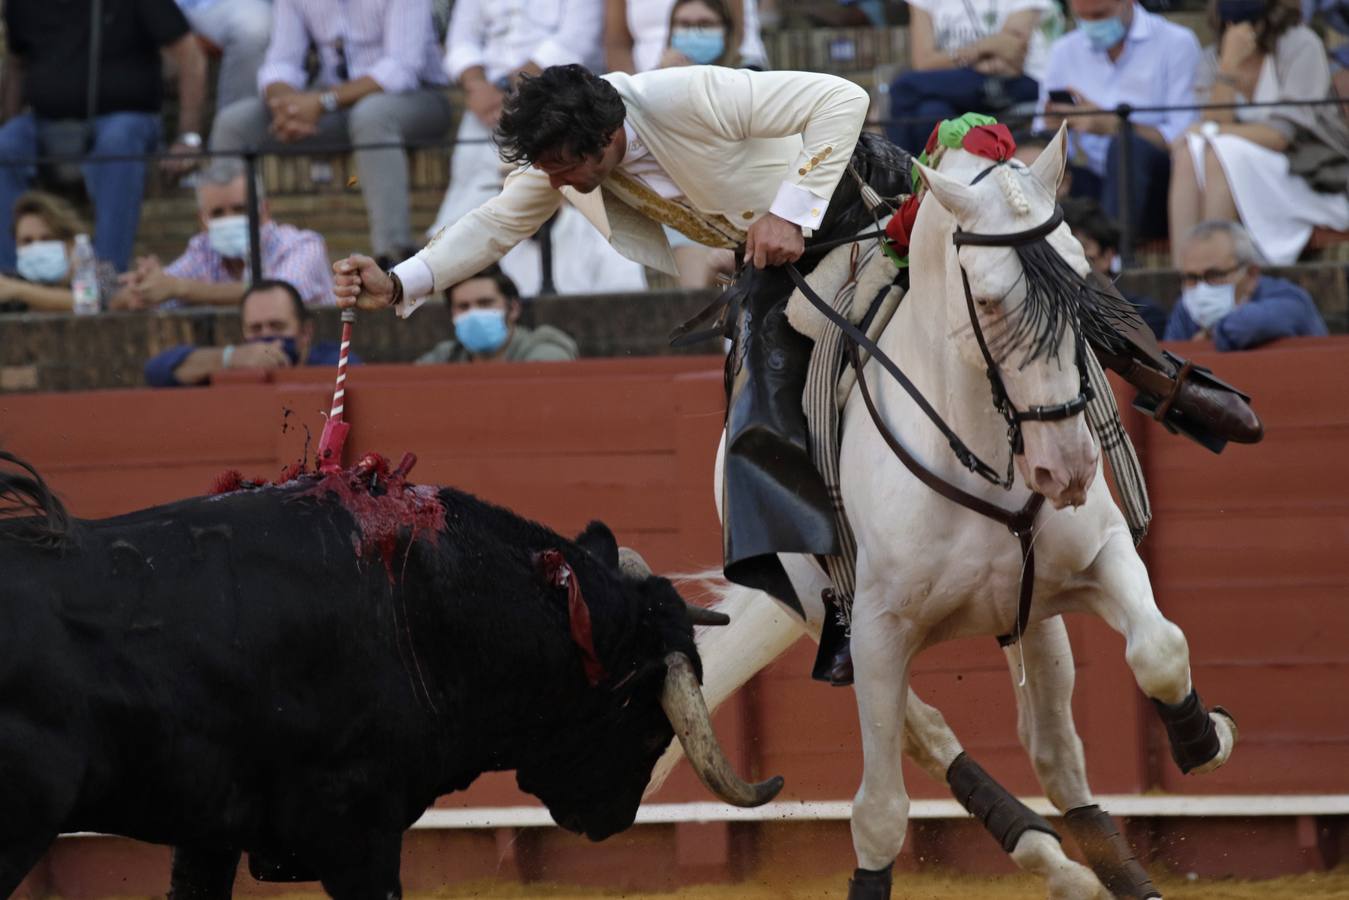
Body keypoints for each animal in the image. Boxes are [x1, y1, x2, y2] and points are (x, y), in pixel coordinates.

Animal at [650, 128, 1235, 900]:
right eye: (986, 300)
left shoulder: (1101, 555)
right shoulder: (876, 633)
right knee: (930, 736)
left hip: (1032, 618)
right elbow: (878, 811)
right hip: (817, 613)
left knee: (1055, 754)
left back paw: (1084, 868)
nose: (1067, 468)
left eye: (1085, 284)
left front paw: (1208, 738)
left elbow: (1160, 650)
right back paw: (1046, 855)